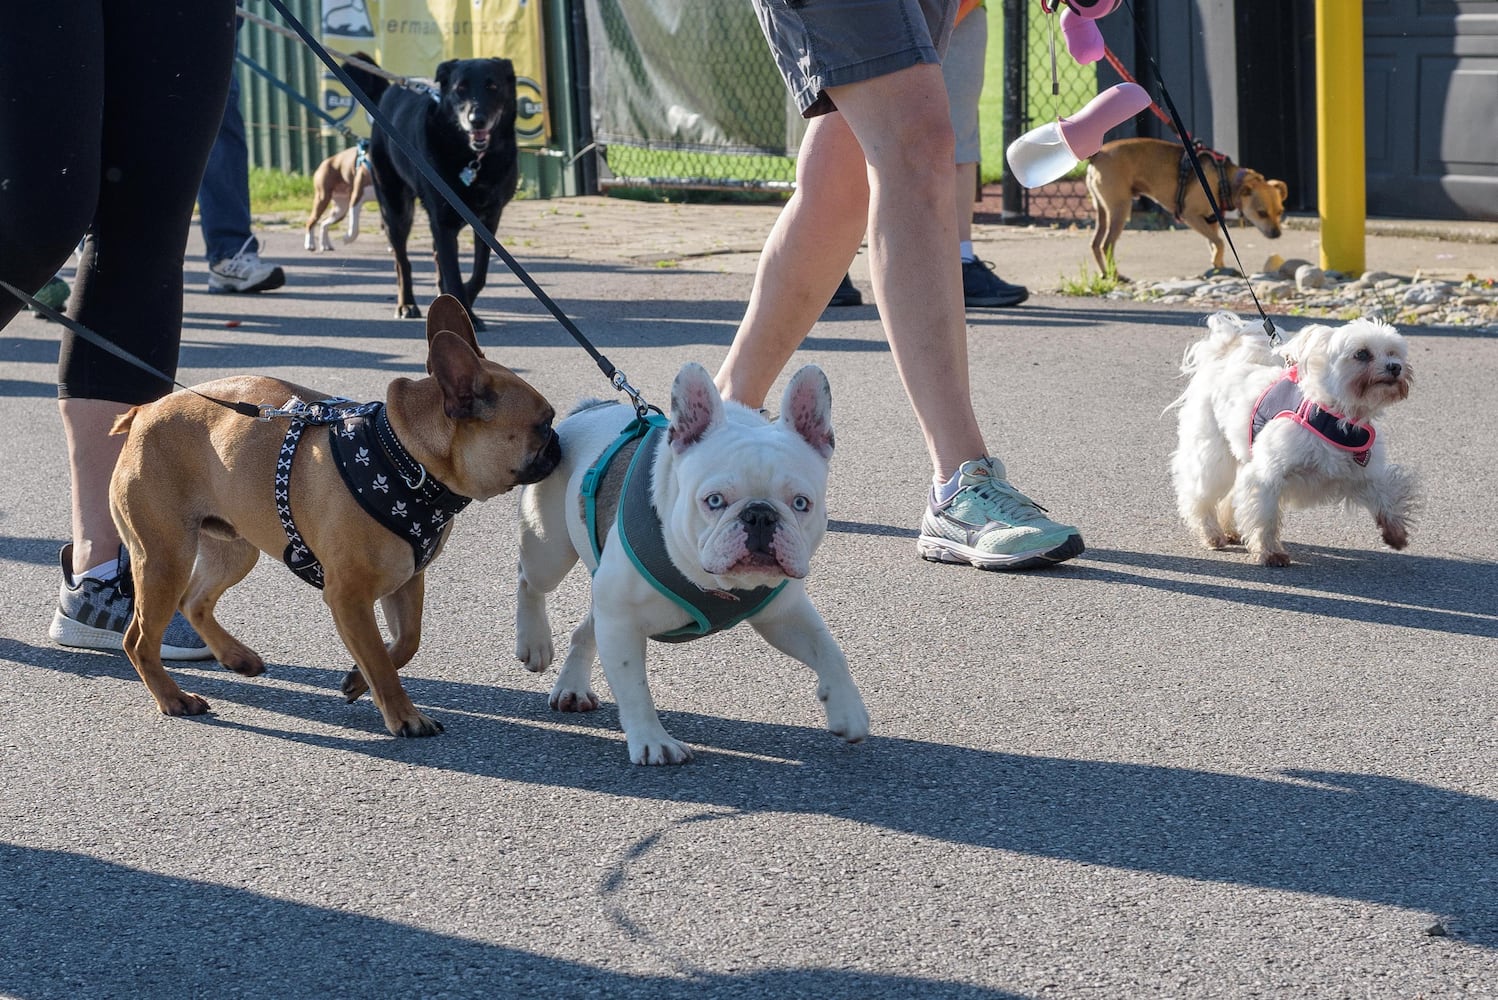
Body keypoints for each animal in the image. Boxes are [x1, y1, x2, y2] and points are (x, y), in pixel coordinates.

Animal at [107, 294, 563, 733]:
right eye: (543, 425)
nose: (559, 442)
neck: (405, 458)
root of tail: (144, 412)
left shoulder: (407, 580)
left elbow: (405, 642)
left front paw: (358, 681)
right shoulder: (348, 596)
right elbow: (379, 656)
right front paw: (405, 716)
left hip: (234, 548)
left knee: (195, 600)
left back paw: (236, 657)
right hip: (164, 558)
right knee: (139, 640)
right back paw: (173, 697)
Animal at [365, 57, 518, 327]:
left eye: (492, 86)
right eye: (460, 88)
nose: (476, 119)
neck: (472, 158)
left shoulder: (489, 220)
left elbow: (479, 271)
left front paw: (463, 298)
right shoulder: (443, 223)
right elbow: (453, 274)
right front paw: (465, 313)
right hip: (396, 208)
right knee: (402, 262)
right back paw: (406, 304)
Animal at [1090, 136, 1288, 275]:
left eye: (1280, 212)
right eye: (1261, 213)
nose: (1277, 234)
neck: (1224, 179)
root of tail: (1097, 155)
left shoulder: (1211, 221)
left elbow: (1214, 243)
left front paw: (1219, 264)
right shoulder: (1190, 216)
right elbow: (1220, 242)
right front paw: (1217, 262)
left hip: (1103, 210)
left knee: (1095, 243)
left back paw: (1104, 274)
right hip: (1120, 208)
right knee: (1107, 244)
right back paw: (1115, 275)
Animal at [1168, 308, 1414, 565]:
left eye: (1393, 352)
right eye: (1362, 354)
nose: (1395, 367)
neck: (1336, 416)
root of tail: (1220, 362)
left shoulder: (1362, 472)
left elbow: (1386, 494)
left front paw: (1395, 532)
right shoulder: (1267, 476)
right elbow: (1265, 517)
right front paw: (1269, 552)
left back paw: (1230, 530)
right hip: (1213, 456)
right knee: (1197, 496)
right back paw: (1211, 533)